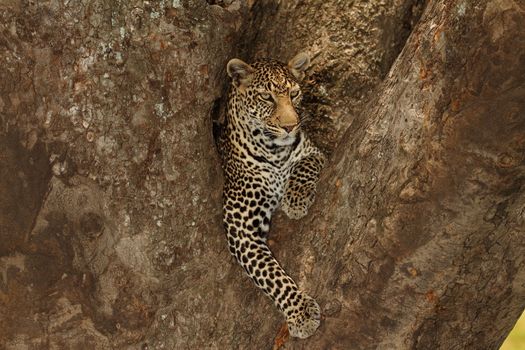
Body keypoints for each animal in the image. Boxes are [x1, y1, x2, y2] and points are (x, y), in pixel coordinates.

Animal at [216, 52, 324, 340]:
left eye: (294, 93)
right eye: (266, 97)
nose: (290, 126)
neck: (274, 152)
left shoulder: (313, 152)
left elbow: (303, 166)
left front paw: (295, 200)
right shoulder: (240, 227)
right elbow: (271, 273)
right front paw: (300, 313)